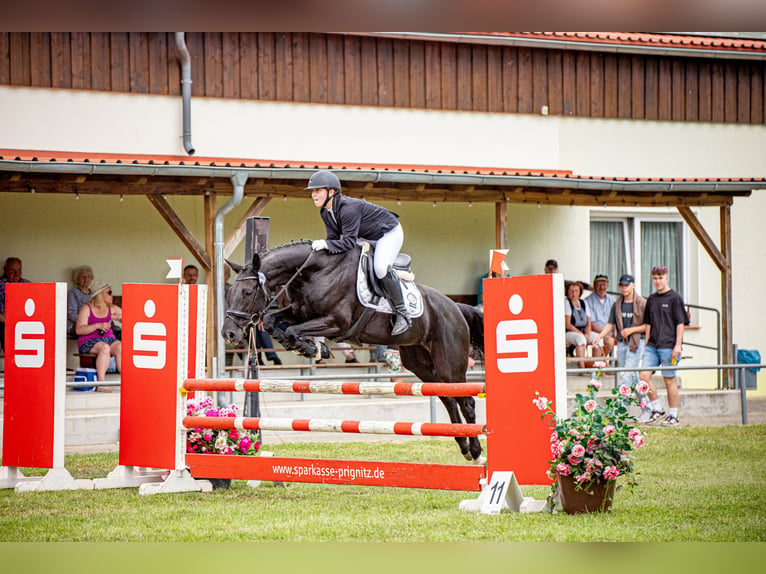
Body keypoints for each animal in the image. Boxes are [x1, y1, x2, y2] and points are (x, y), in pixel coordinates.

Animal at [222, 242, 486, 464]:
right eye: (229, 292)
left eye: (247, 292)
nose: (229, 334)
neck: (314, 272)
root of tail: (456, 307)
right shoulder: (300, 313)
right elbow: (272, 321)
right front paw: (310, 347)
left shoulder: (336, 322)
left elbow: (292, 331)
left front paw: (312, 348)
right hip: (419, 363)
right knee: (449, 400)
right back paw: (464, 446)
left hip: (449, 365)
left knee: (467, 403)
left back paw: (477, 453)